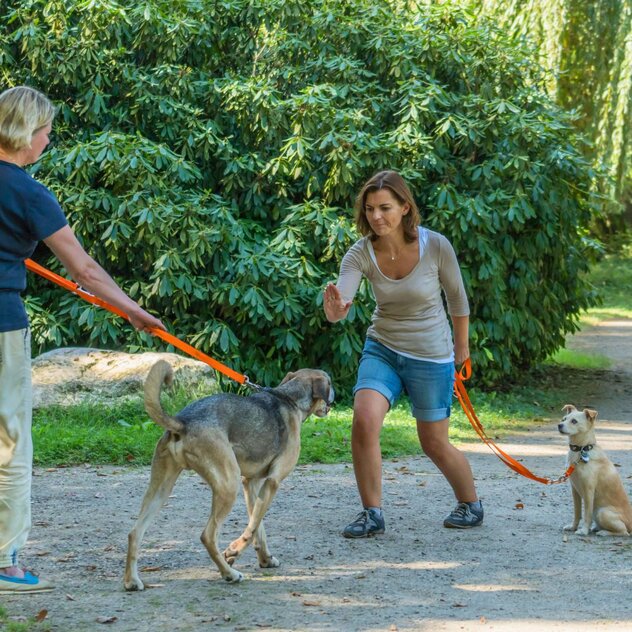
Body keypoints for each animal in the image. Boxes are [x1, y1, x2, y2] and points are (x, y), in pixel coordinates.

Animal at [121, 360, 334, 592]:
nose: (332, 403)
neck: (290, 399)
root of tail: (182, 421)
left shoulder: (252, 483)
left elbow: (258, 527)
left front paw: (265, 560)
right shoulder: (272, 482)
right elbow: (253, 526)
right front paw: (234, 551)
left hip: (161, 490)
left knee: (134, 533)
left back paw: (131, 581)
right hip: (228, 486)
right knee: (208, 536)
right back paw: (229, 574)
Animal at [556, 408, 632, 536]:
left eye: (574, 421)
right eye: (563, 419)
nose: (559, 425)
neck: (580, 450)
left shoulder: (588, 491)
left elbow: (587, 514)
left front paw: (584, 530)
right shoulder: (574, 490)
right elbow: (577, 513)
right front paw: (573, 527)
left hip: (602, 512)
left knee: (624, 532)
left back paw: (604, 532)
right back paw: (597, 528)